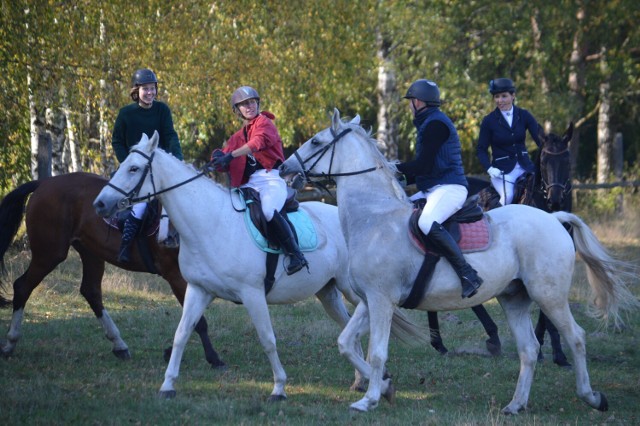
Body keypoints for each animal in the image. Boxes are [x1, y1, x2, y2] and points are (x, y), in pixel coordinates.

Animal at [0, 171, 225, 368]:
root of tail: (44, 182)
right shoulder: (176, 276)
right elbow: (197, 321)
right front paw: (213, 358)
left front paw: (173, 351)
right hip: (49, 253)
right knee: (22, 286)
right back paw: (10, 342)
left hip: (90, 252)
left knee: (91, 291)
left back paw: (119, 344)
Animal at [278, 109, 636, 412]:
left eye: (316, 142)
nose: (283, 167)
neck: (375, 216)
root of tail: (554, 217)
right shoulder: (370, 300)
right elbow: (346, 343)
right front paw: (386, 387)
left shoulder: (381, 300)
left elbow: (377, 352)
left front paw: (370, 399)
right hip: (514, 298)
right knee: (529, 349)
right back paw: (515, 405)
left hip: (549, 296)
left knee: (575, 337)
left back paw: (591, 397)